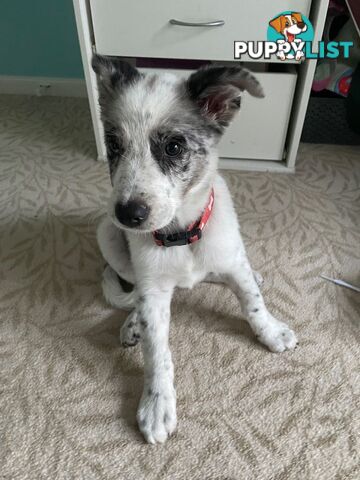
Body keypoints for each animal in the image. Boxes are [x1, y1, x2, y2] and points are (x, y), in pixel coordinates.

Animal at [93, 57, 298, 446]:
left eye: (174, 147)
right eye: (113, 145)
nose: (128, 214)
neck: (181, 235)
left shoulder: (231, 258)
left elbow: (252, 302)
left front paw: (270, 331)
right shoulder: (153, 289)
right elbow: (157, 351)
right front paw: (157, 404)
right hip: (107, 235)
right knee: (134, 294)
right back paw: (132, 323)